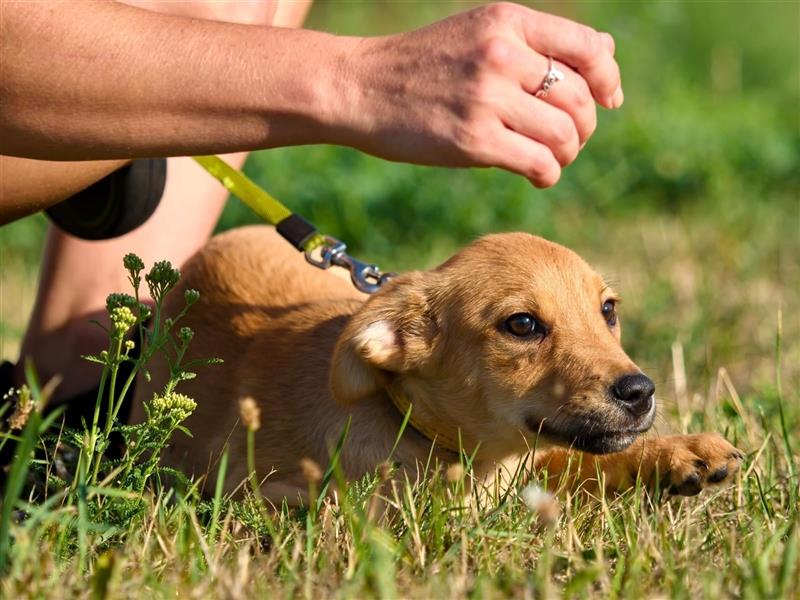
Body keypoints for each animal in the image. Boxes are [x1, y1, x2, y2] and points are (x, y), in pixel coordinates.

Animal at [130, 225, 736, 502]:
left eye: (608, 310)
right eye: (522, 325)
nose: (640, 392)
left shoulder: (537, 458)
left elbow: (585, 461)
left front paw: (682, 452)